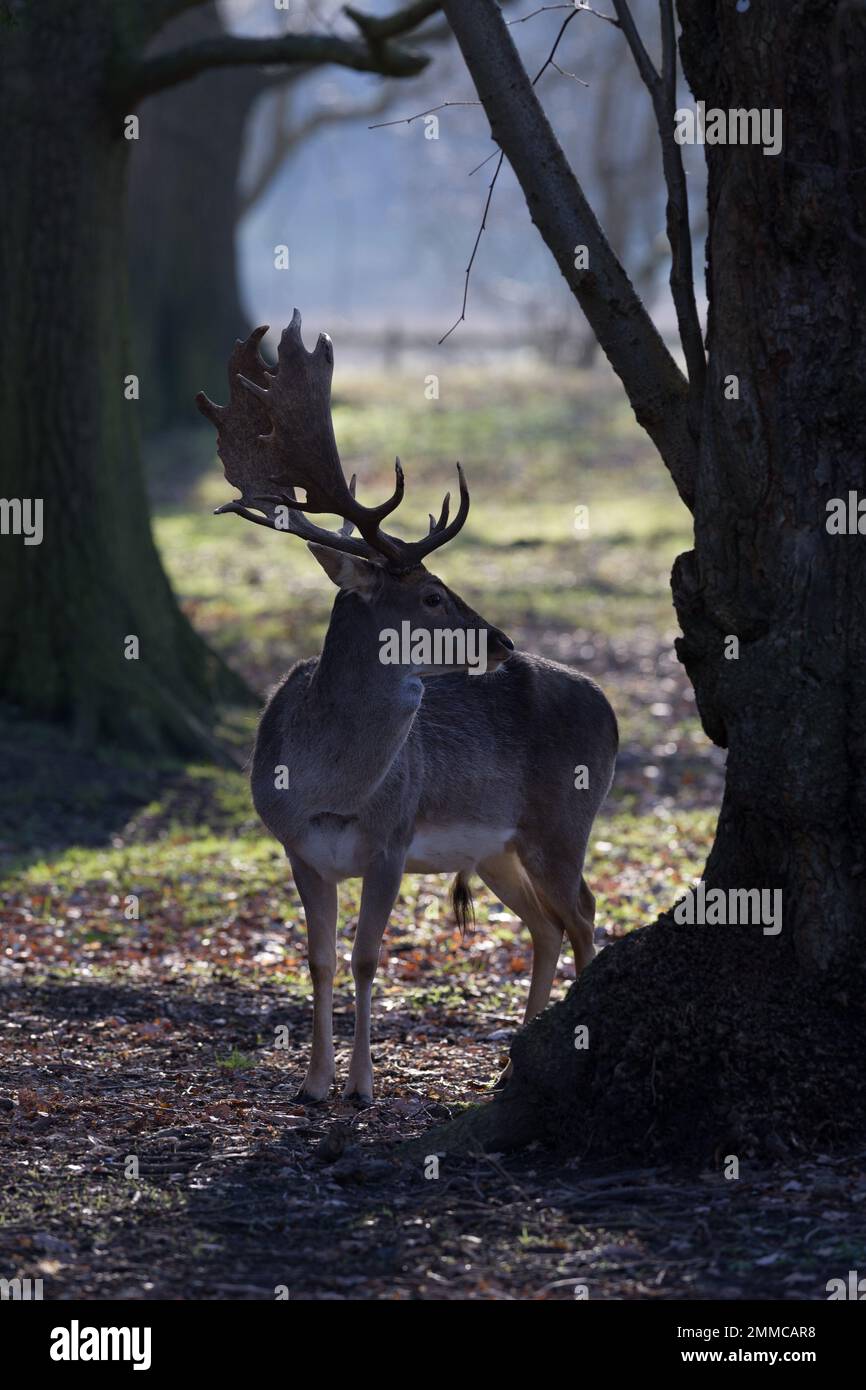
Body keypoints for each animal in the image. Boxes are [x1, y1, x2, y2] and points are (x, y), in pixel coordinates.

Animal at [198, 309, 617, 1100]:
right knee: (548, 924)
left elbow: (367, 960)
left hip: (563, 821)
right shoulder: (296, 847)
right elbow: (321, 960)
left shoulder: (391, 841)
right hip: (498, 848)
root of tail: (611, 709)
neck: (330, 790)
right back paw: (515, 1057)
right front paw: (314, 1083)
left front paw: (362, 1087)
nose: (501, 640)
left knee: (584, 913)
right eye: (429, 594)